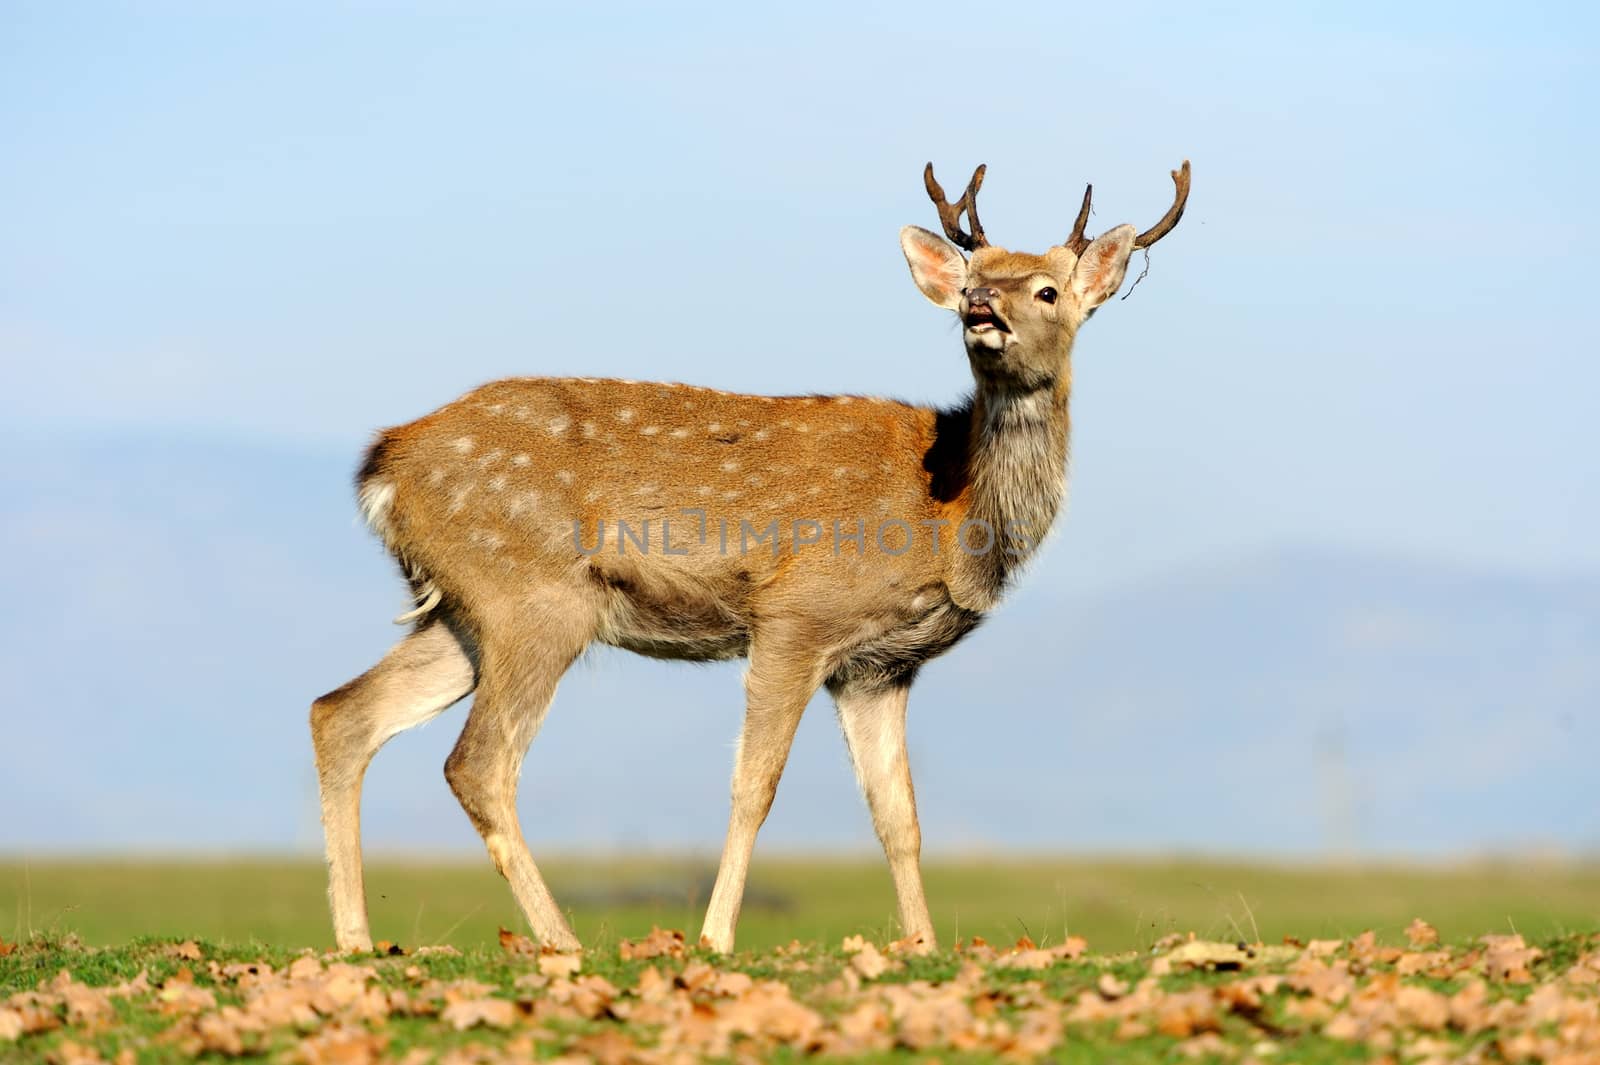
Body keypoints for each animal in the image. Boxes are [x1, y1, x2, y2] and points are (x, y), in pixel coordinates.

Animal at [308, 157, 1190, 953]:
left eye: (1047, 290)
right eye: (975, 272)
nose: (979, 305)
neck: (952, 512)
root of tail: (383, 463)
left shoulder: (879, 666)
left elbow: (898, 815)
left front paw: (924, 946)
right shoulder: (797, 614)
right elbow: (755, 785)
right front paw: (715, 937)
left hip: (464, 609)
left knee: (341, 712)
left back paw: (355, 937)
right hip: (535, 595)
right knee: (479, 762)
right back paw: (561, 940)